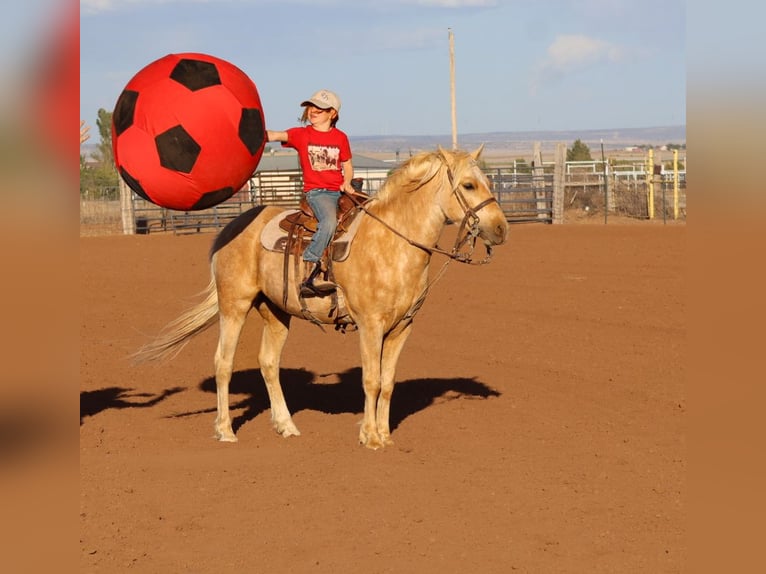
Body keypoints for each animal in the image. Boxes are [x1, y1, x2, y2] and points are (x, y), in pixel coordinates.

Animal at [134, 146, 508, 449]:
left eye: (489, 182)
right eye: (469, 185)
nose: (501, 229)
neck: (393, 242)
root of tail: (231, 227)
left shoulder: (403, 326)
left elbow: (388, 382)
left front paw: (385, 435)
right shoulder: (370, 325)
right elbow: (371, 380)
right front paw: (370, 437)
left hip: (275, 311)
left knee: (268, 363)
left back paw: (285, 425)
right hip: (234, 306)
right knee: (223, 363)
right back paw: (225, 430)